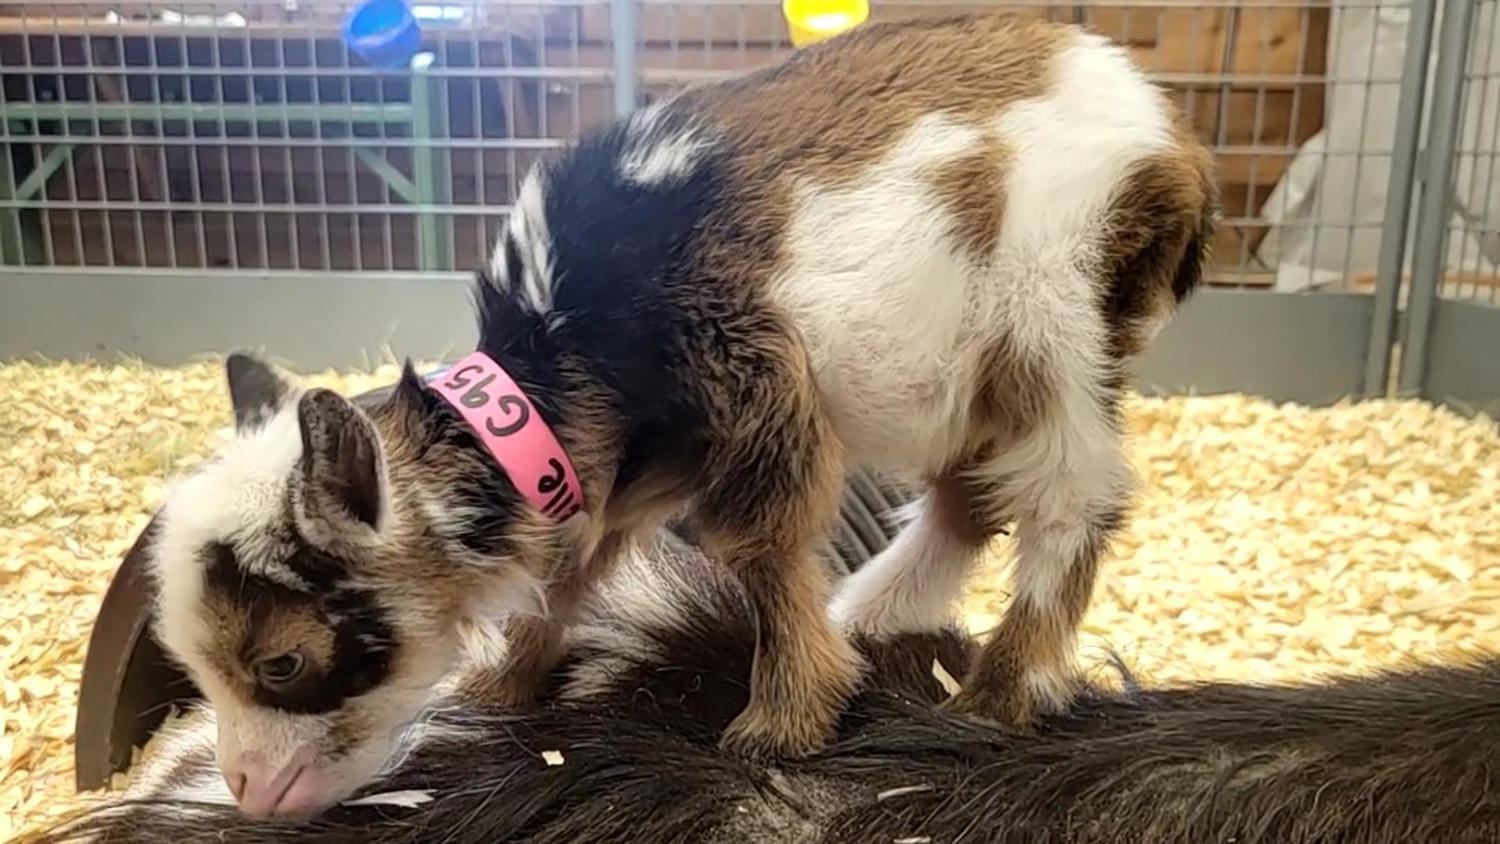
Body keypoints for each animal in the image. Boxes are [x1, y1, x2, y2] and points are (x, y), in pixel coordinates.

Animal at [142, 11, 1219, 818]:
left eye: (283, 660)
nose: (251, 790)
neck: (562, 345)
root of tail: (1170, 135)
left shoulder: (753, 380)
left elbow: (762, 546)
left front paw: (781, 724)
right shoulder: (623, 466)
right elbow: (567, 573)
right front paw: (501, 689)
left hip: (1053, 312)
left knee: (1071, 497)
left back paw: (998, 695)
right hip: (970, 375)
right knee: (969, 495)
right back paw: (876, 614)